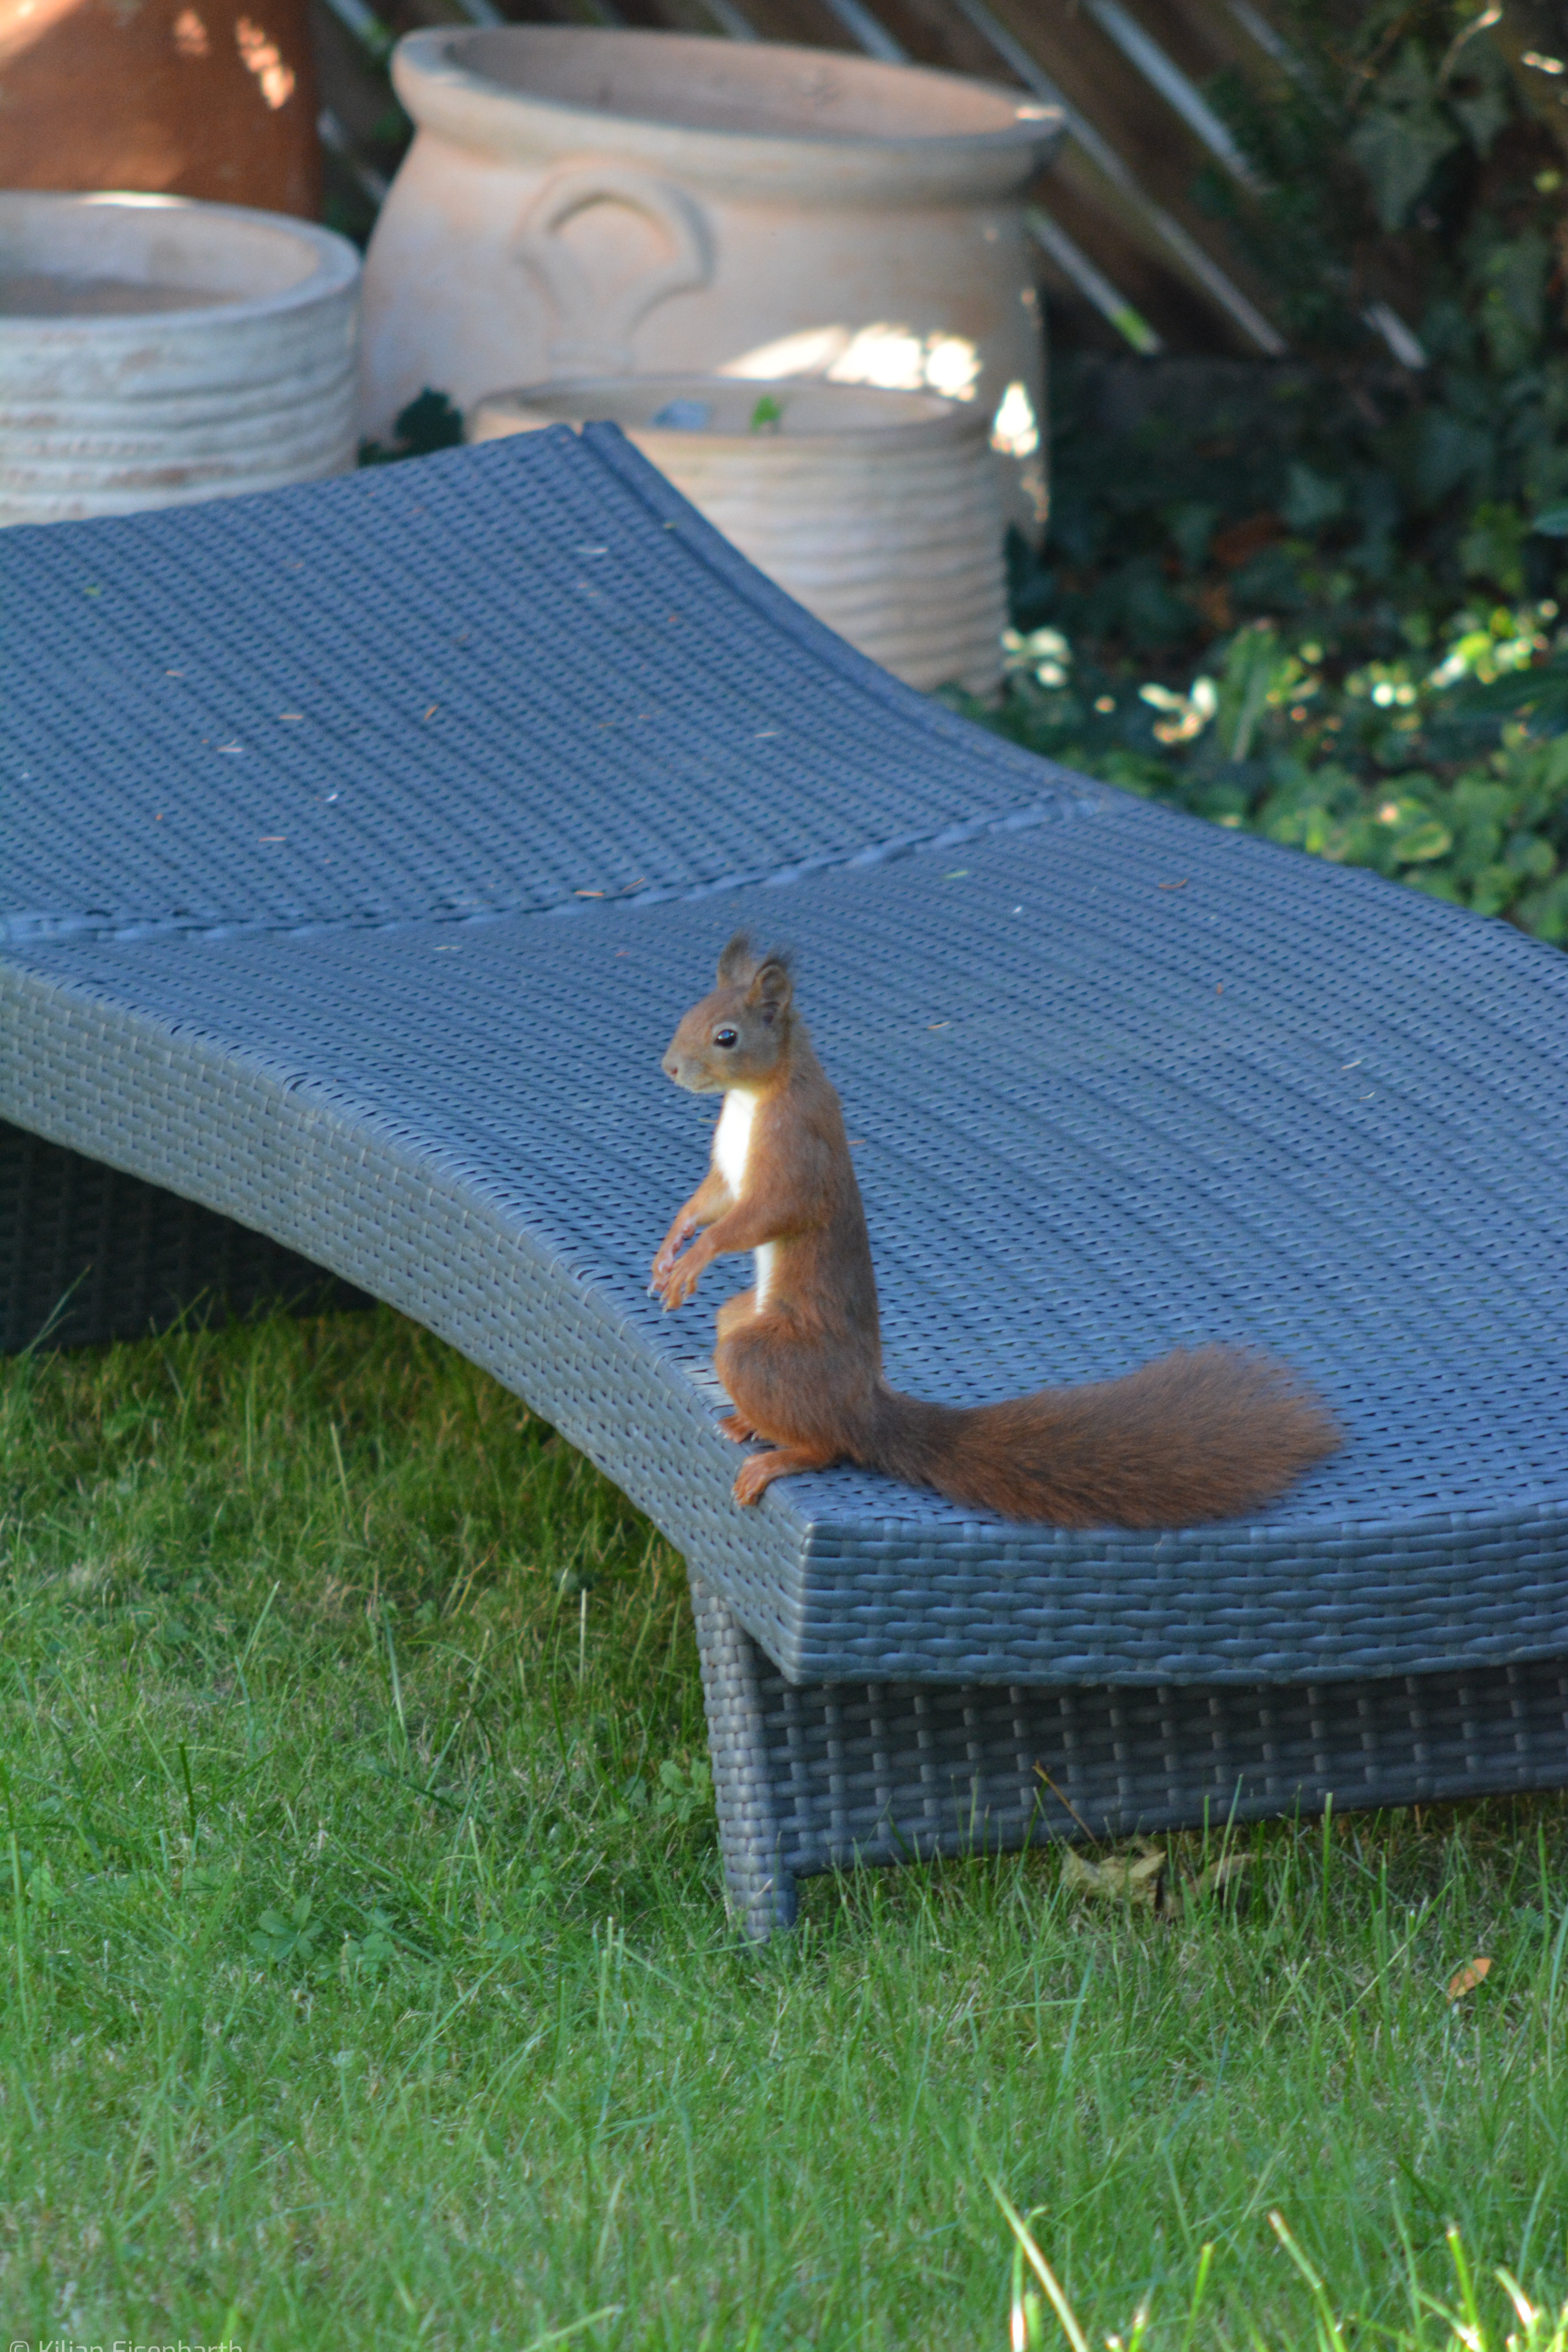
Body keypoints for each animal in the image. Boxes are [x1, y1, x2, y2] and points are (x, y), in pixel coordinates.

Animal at [650, 933, 1340, 1524]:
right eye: (687, 1014)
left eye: (727, 1037)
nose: (670, 1069)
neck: (752, 1100)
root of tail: (863, 1409)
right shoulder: (729, 1174)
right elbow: (710, 1202)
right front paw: (672, 1243)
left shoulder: (797, 1156)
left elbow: (766, 1214)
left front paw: (697, 1257)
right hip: (742, 1320)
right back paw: (747, 1423)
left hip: (767, 1356)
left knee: (830, 1447)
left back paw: (779, 1458)